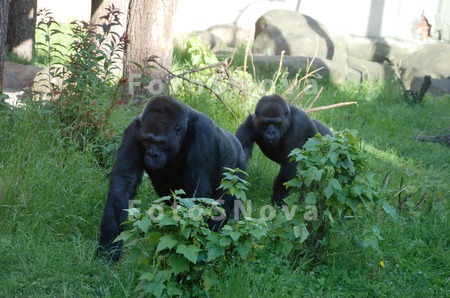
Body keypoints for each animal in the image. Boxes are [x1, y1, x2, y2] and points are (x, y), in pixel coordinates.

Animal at [98, 95, 246, 260]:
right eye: (147, 141)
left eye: (161, 143)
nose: (152, 155)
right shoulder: (133, 129)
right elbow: (124, 182)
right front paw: (109, 244)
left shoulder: (203, 132)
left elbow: (198, 190)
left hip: (238, 171)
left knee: (224, 204)